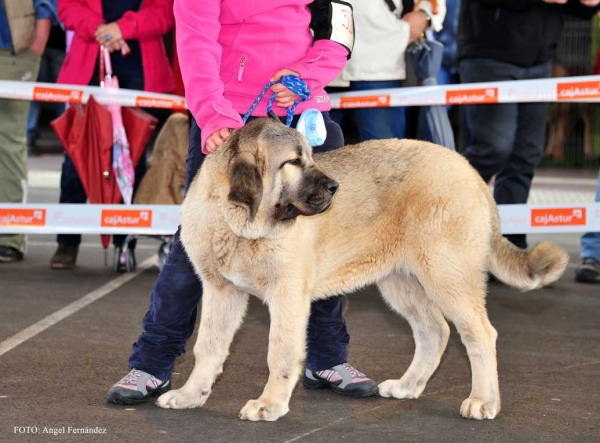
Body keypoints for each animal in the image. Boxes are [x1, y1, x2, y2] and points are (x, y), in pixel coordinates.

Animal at [155, 118, 568, 424]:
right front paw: (191, 395)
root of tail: (470, 171)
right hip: (401, 283)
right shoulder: (221, 291)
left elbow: (280, 352)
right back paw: (408, 385)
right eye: (294, 162)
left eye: (310, 157)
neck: (236, 222)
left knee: (479, 335)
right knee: (434, 331)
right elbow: (208, 347)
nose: (334, 186)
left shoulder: (287, 296)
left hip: (447, 276)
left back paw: (483, 400)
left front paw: (269, 403)